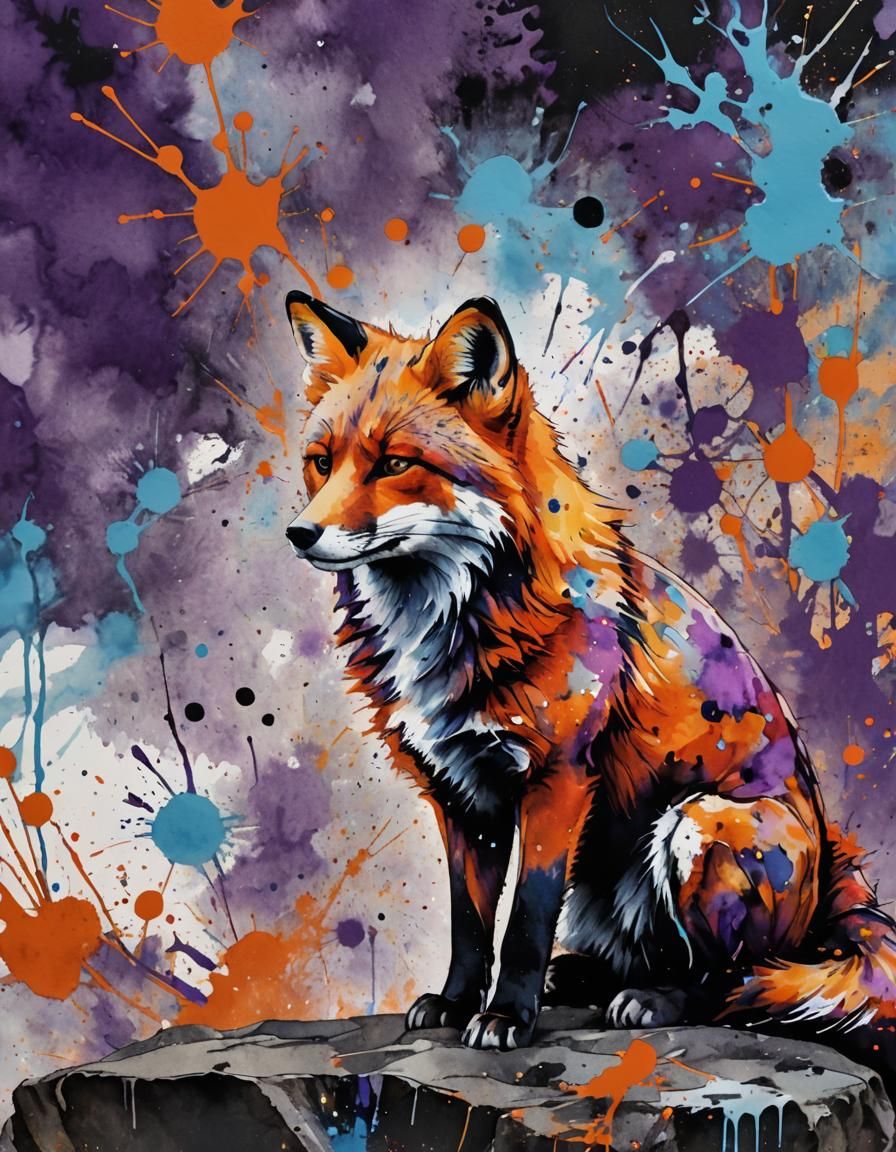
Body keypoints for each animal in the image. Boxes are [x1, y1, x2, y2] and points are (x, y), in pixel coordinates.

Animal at [284, 288, 896, 1081]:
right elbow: (470, 923)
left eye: (394, 462)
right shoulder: (459, 792)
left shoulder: (558, 781)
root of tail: (828, 887)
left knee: (731, 980)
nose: (301, 534)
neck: (451, 617)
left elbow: (524, 920)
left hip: (698, 825)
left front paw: (506, 1017)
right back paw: (583, 977)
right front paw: (456, 1004)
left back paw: (653, 1001)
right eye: (321, 464)